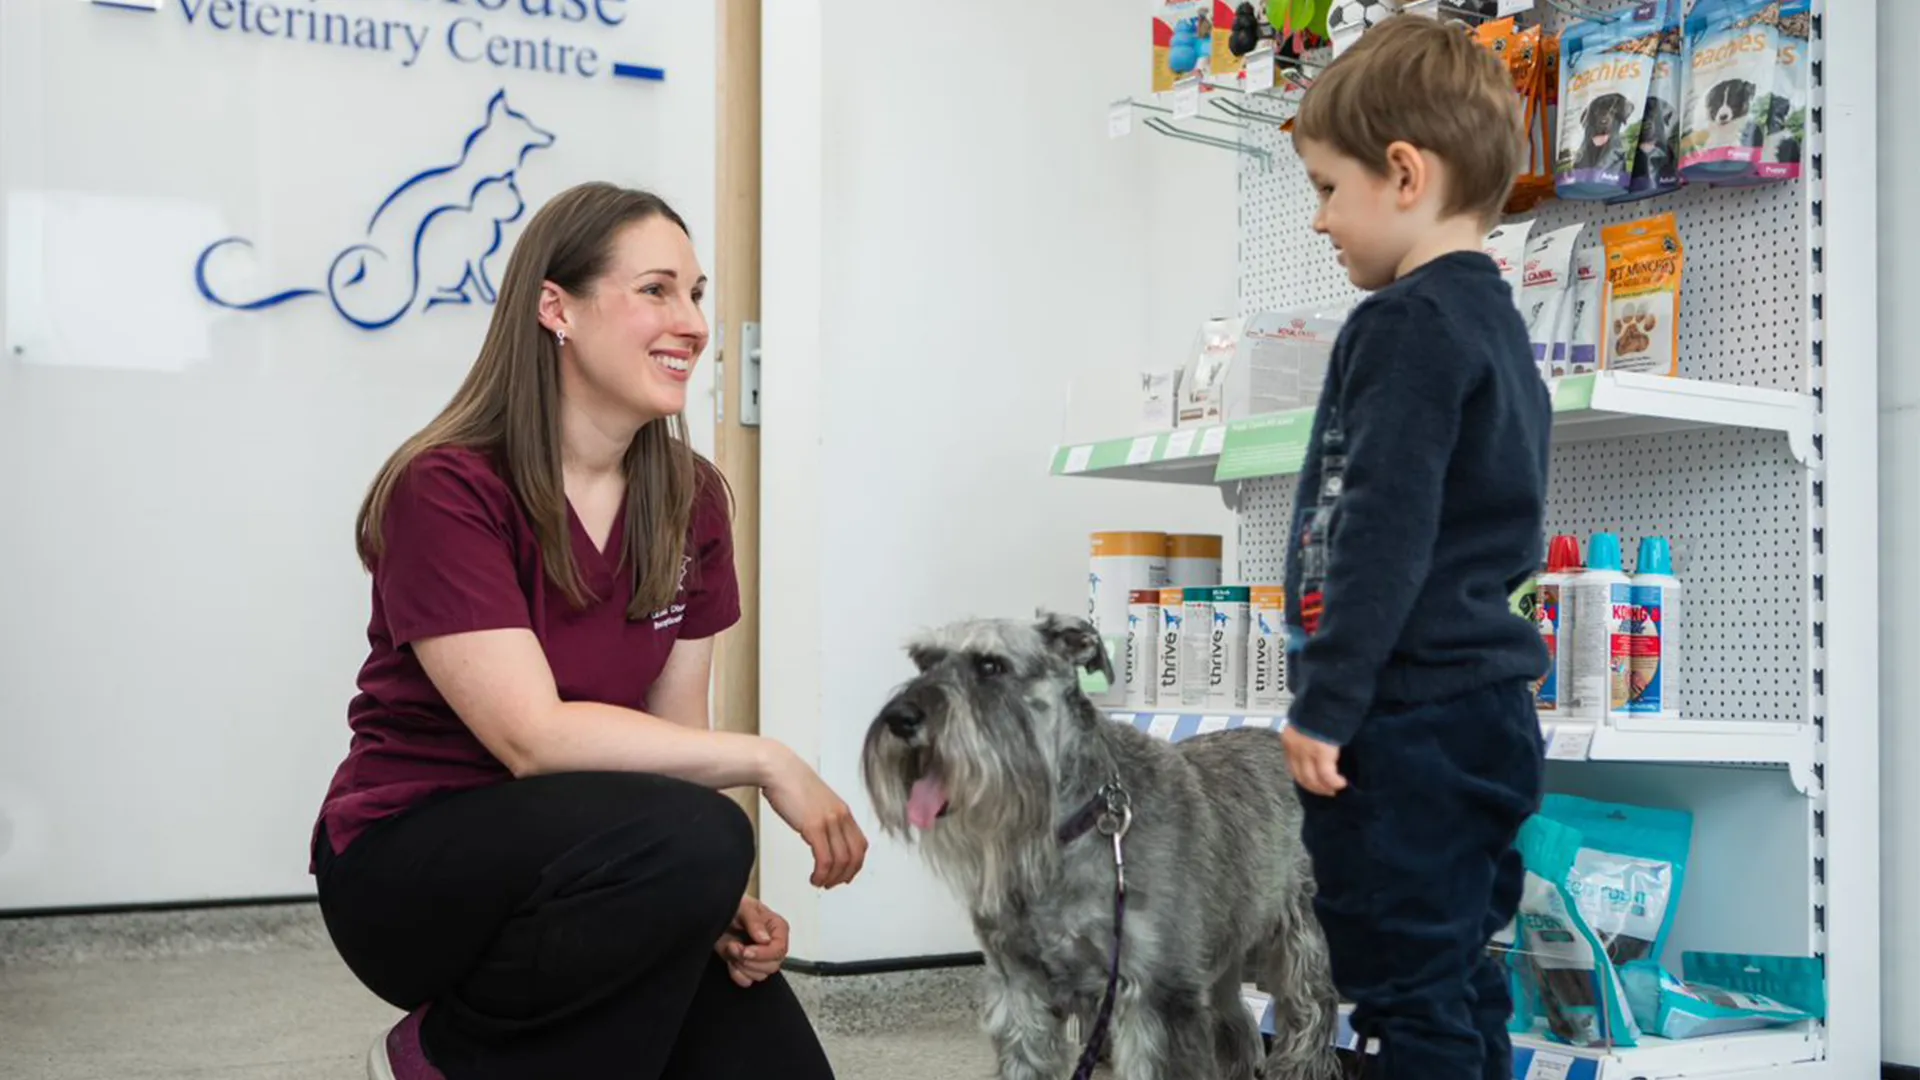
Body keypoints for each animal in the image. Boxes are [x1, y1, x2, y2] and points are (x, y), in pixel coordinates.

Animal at [864, 611, 1344, 1076]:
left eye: (990, 665)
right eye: (923, 662)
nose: (900, 719)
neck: (1067, 832)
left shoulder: (1157, 997)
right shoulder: (1020, 992)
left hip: (1302, 947)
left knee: (1309, 1025)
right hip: (1220, 959)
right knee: (1237, 1029)